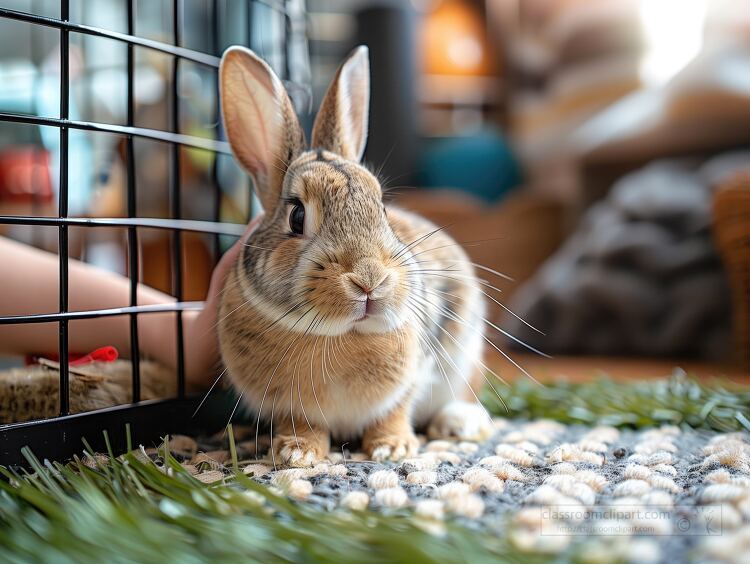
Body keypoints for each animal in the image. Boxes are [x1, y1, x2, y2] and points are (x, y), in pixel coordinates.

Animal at [217, 45, 490, 468]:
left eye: (381, 207)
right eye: (297, 217)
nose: (369, 279)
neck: (337, 335)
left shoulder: (413, 375)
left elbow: (395, 410)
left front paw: (392, 448)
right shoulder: (289, 406)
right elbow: (304, 424)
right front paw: (297, 453)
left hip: (467, 348)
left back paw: (459, 424)